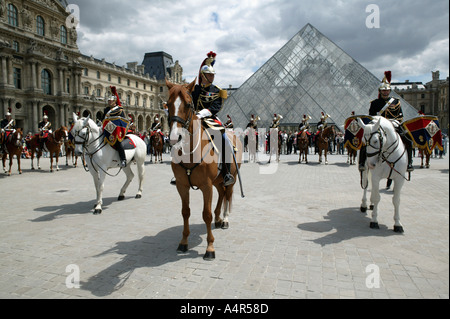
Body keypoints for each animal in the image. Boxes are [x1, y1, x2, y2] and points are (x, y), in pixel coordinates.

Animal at [166, 79, 243, 262]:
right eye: (167, 104)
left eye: (188, 104)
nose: (174, 138)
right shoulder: (182, 186)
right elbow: (185, 212)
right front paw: (184, 242)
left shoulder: (206, 186)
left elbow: (206, 214)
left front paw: (210, 248)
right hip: (217, 180)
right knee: (221, 194)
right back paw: (219, 218)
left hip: (231, 178)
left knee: (228, 195)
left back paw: (225, 219)